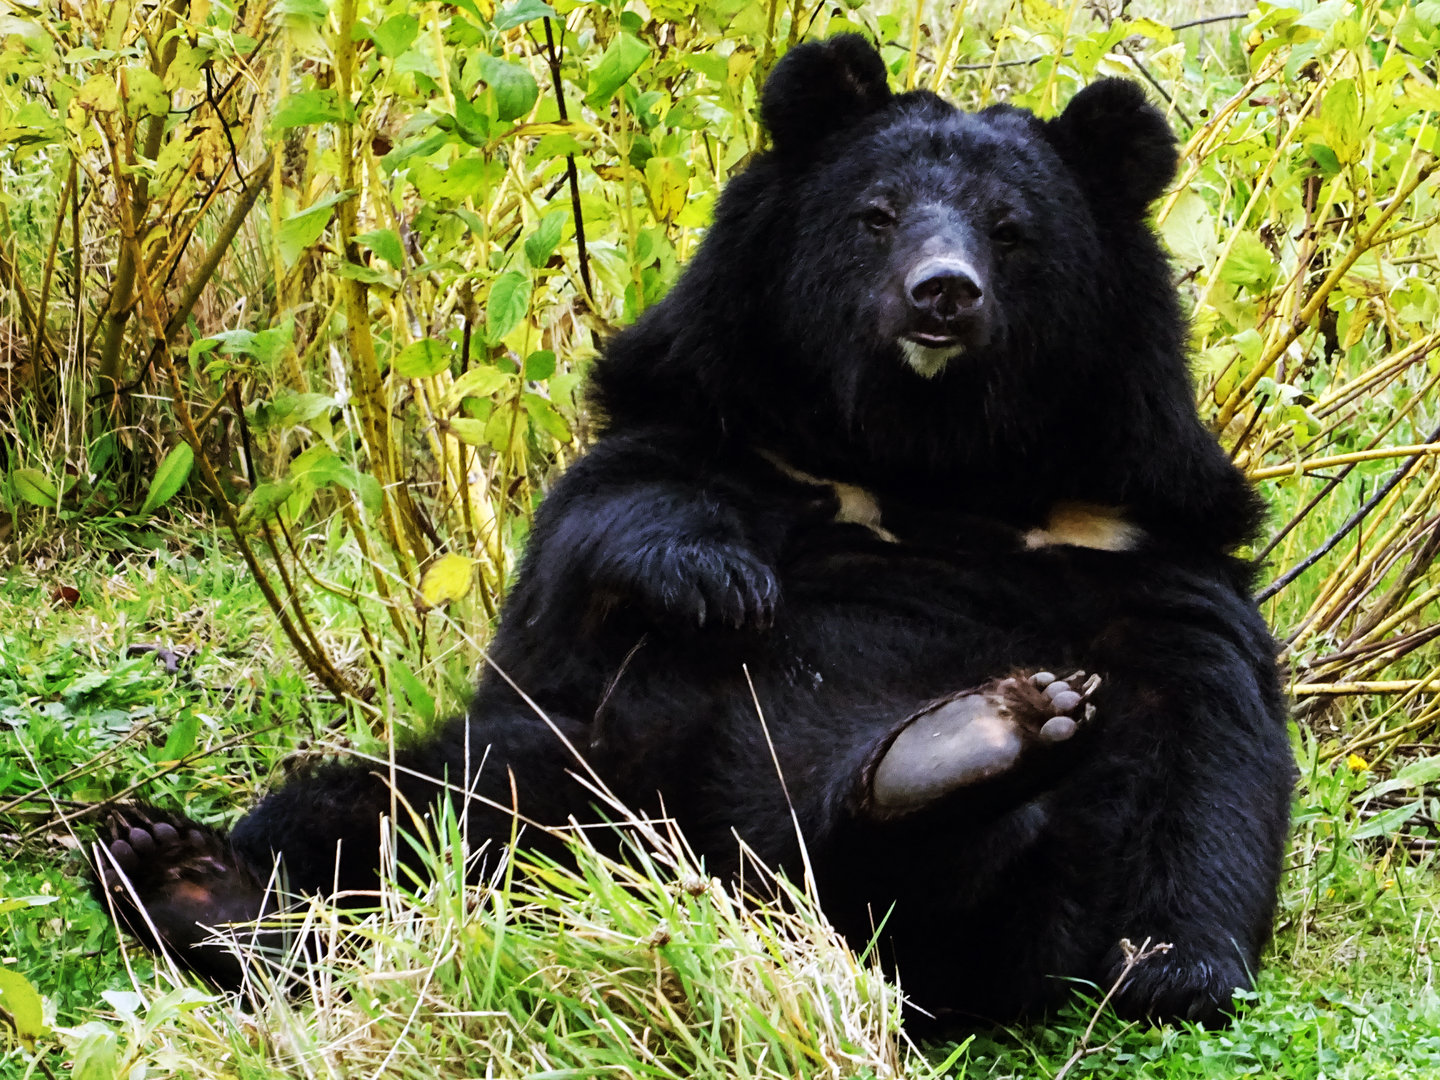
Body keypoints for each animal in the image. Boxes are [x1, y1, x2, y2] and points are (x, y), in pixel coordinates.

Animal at [93, 35, 1293, 1027]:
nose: (941, 297)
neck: (930, 456)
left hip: (995, 900)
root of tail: (733, 881)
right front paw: (720, 583)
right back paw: (182, 874)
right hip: (551, 769)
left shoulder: (1131, 540)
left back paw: (967, 751)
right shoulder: (729, 424)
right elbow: (606, 528)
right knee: (370, 824)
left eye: (1012, 234)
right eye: (877, 215)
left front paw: (1177, 971)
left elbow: (1207, 739)